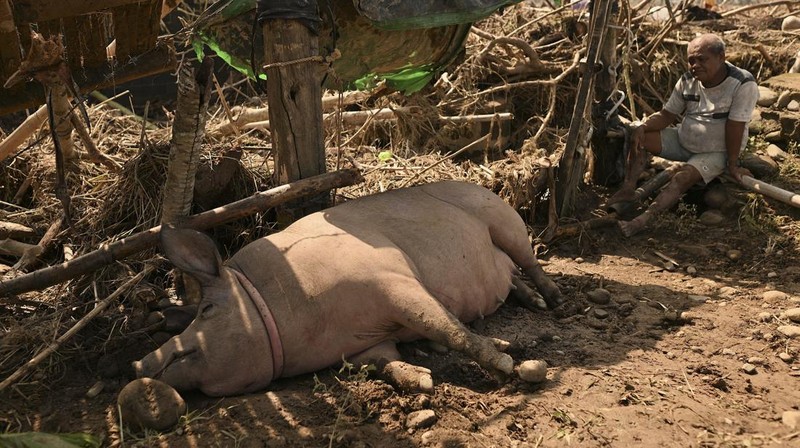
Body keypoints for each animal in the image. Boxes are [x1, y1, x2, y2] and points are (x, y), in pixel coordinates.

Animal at [134, 181, 564, 396]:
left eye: (206, 310)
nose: (137, 364)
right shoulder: (362, 346)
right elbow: (385, 362)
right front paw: (423, 380)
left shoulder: (393, 280)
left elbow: (448, 329)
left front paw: (507, 366)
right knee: (512, 276)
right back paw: (535, 302)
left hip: (501, 216)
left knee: (527, 259)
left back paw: (553, 301)